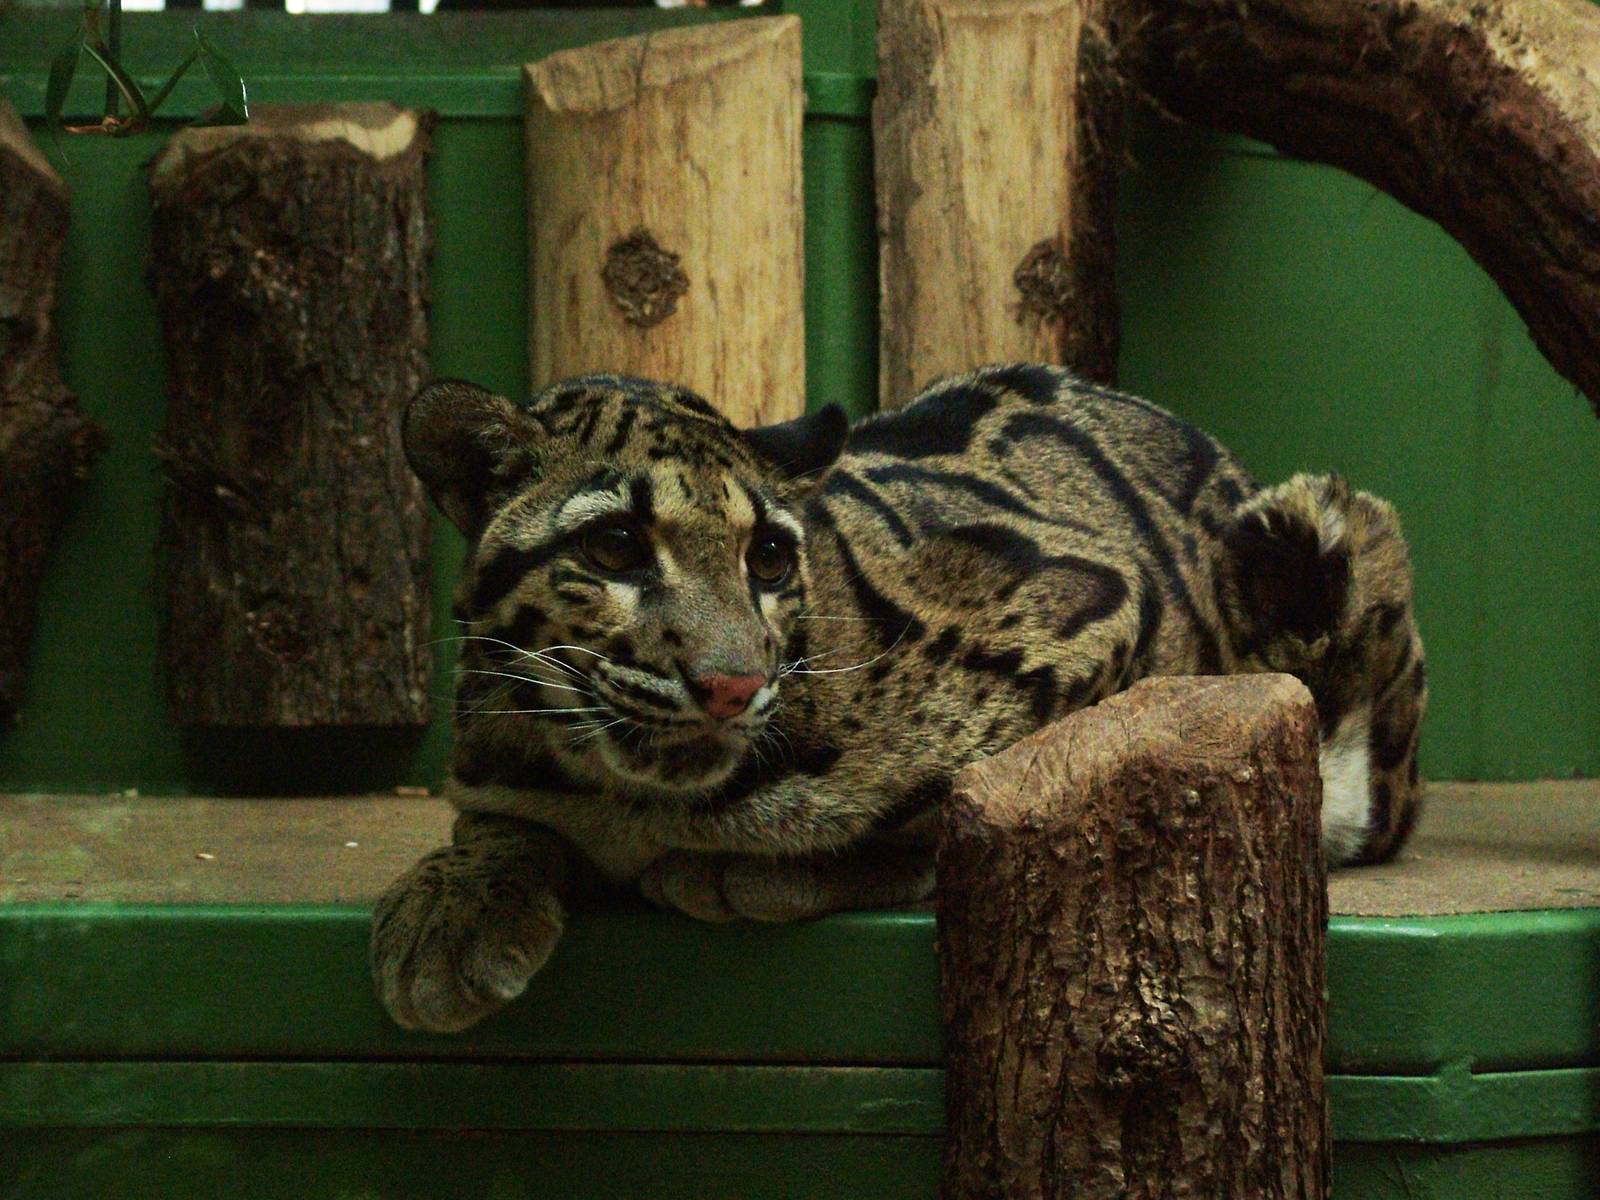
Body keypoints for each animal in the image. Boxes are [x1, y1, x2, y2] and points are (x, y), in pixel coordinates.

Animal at [371, 363, 1427, 1033]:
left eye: (768, 558)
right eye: (614, 548)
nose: (733, 683)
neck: (630, 792)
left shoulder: (1102, 603)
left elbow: (942, 802)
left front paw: (755, 865)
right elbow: (494, 818)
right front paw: (455, 901)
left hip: (1315, 533)